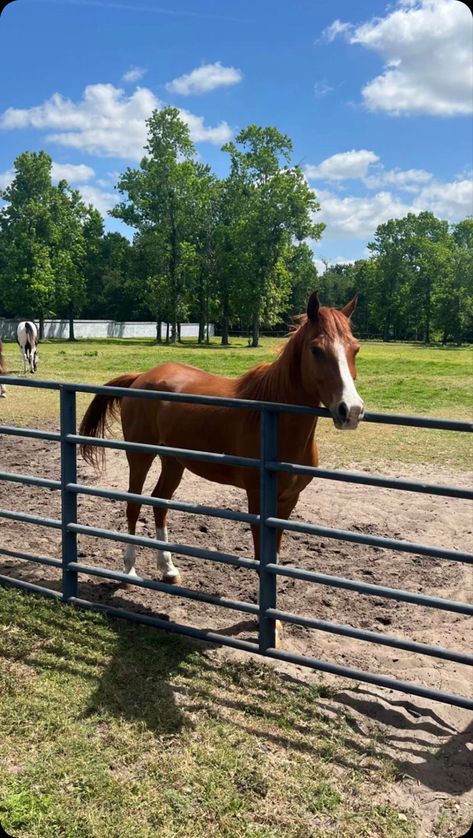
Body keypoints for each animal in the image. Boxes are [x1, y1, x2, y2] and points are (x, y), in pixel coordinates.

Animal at [79, 294, 364, 584]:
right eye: (316, 350)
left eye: (355, 349)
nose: (351, 410)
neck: (272, 421)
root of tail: (141, 377)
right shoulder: (258, 499)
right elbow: (262, 558)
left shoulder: (288, 500)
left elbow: (274, 555)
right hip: (140, 457)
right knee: (134, 505)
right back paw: (129, 570)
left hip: (173, 462)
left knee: (160, 503)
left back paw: (168, 569)